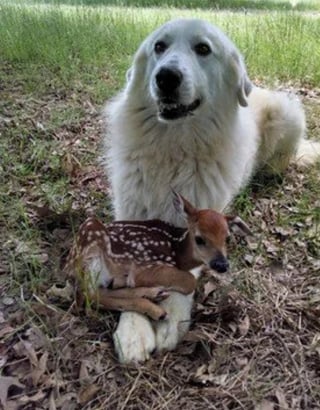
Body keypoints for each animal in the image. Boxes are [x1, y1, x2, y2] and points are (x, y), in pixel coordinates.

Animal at [104, 17, 318, 362]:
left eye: (203, 49)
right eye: (159, 47)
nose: (166, 77)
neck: (174, 147)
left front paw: (170, 318)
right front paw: (134, 329)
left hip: (288, 112)